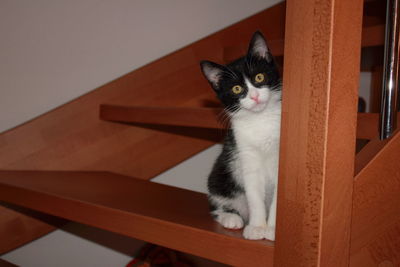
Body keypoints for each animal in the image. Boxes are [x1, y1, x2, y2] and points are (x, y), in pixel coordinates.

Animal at [200, 31, 282, 243]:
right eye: (236, 89)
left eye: (259, 77)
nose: (254, 96)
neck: (260, 120)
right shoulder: (245, 151)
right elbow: (253, 192)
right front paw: (257, 227)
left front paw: (272, 229)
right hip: (221, 174)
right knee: (216, 203)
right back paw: (230, 217)